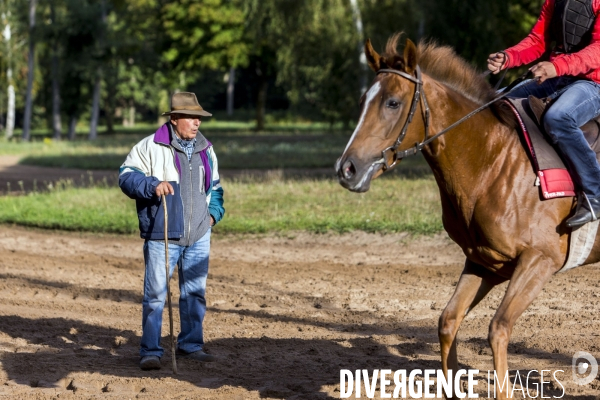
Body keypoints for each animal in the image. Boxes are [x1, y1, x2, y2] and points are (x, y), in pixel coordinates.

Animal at [336, 33, 596, 396]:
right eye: (363, 101)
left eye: (393, 103)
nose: (347, 168)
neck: (494, 161)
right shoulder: (485, 261)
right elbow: (448, 321)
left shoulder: (540, 260)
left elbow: (498, 328)